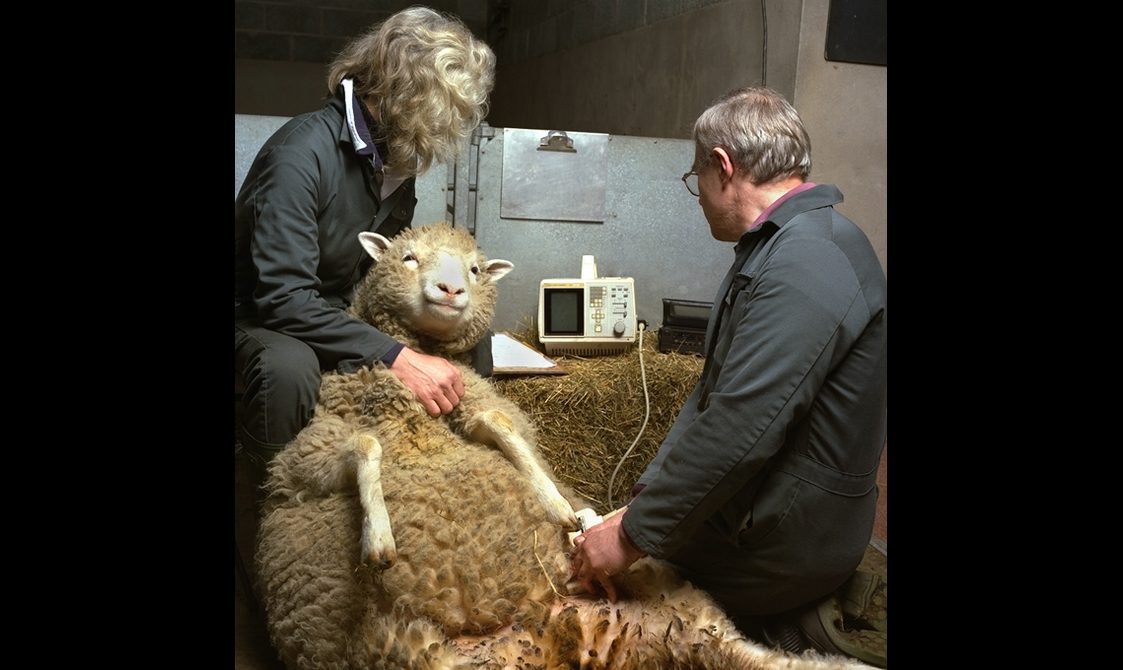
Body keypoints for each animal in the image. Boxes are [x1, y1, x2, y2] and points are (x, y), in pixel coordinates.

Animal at [255, 223, 876, 670]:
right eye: (407, 257)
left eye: (475, 268)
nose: (451, 289)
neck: (414, 411)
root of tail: (548, 622)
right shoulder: (305, 457)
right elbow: (365, 443)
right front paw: (379, 540)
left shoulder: (473, 407)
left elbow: (502, 427)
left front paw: (559, 506)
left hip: (677, 607)